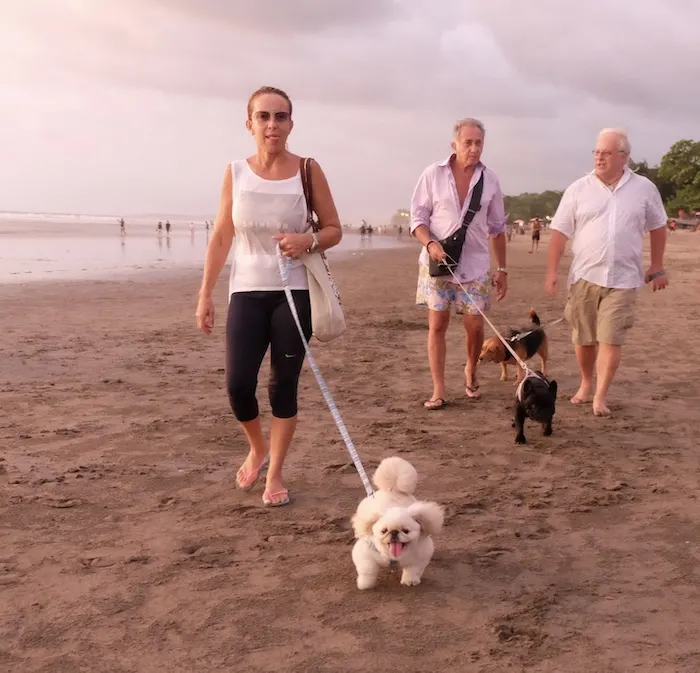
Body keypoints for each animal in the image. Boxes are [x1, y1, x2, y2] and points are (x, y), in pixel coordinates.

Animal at [350, 456, 442, 588]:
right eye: (384, 531)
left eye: (406, 531)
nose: (394, 532)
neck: (394, 557)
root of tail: (392, 489)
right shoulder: (365, 553)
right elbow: (368, 570)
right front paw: (365, 584)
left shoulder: (421, 555)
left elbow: (413, 570)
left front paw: (410, 581)